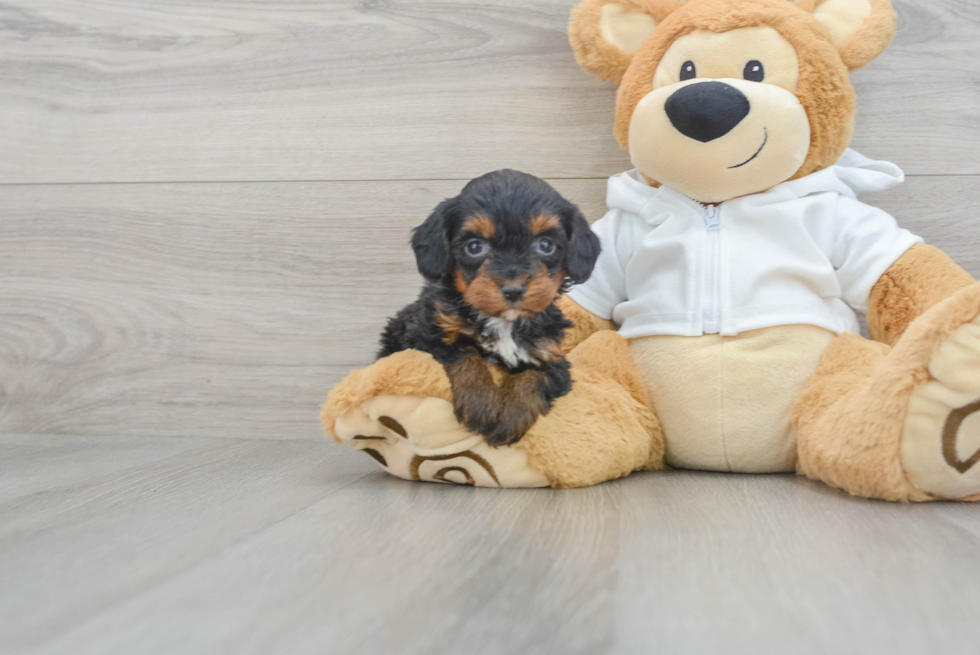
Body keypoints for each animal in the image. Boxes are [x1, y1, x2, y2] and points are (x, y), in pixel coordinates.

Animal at [378, 169, 600, 446]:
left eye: (546, 245)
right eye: (474, 246)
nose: (513, 289)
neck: (504, 321)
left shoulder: (552, 356)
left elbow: (533, 375)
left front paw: (511, 416)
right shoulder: (426, 338)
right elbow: (464, 353)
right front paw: (481, 404)